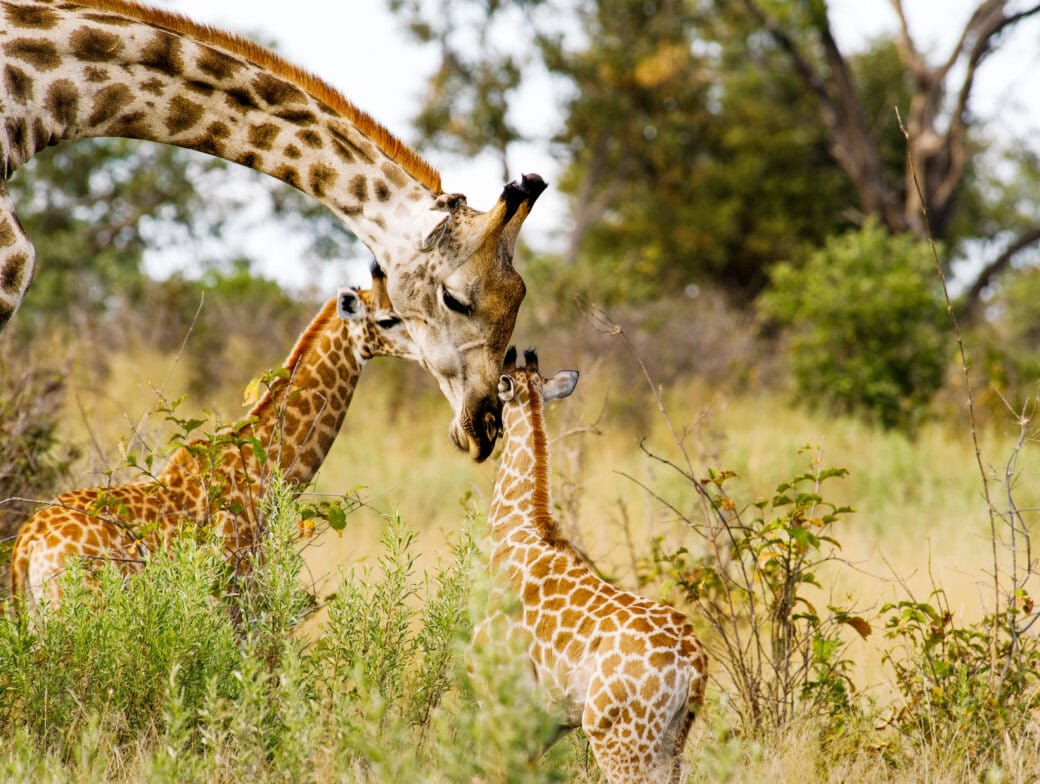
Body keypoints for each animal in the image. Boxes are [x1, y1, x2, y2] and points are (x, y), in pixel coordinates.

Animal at [475, 348, 708, 784]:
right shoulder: (546, 720)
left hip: (618, 739)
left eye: (495, 392)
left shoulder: (497, 694)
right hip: (672, 741)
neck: (517, 529)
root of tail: (694, 662)